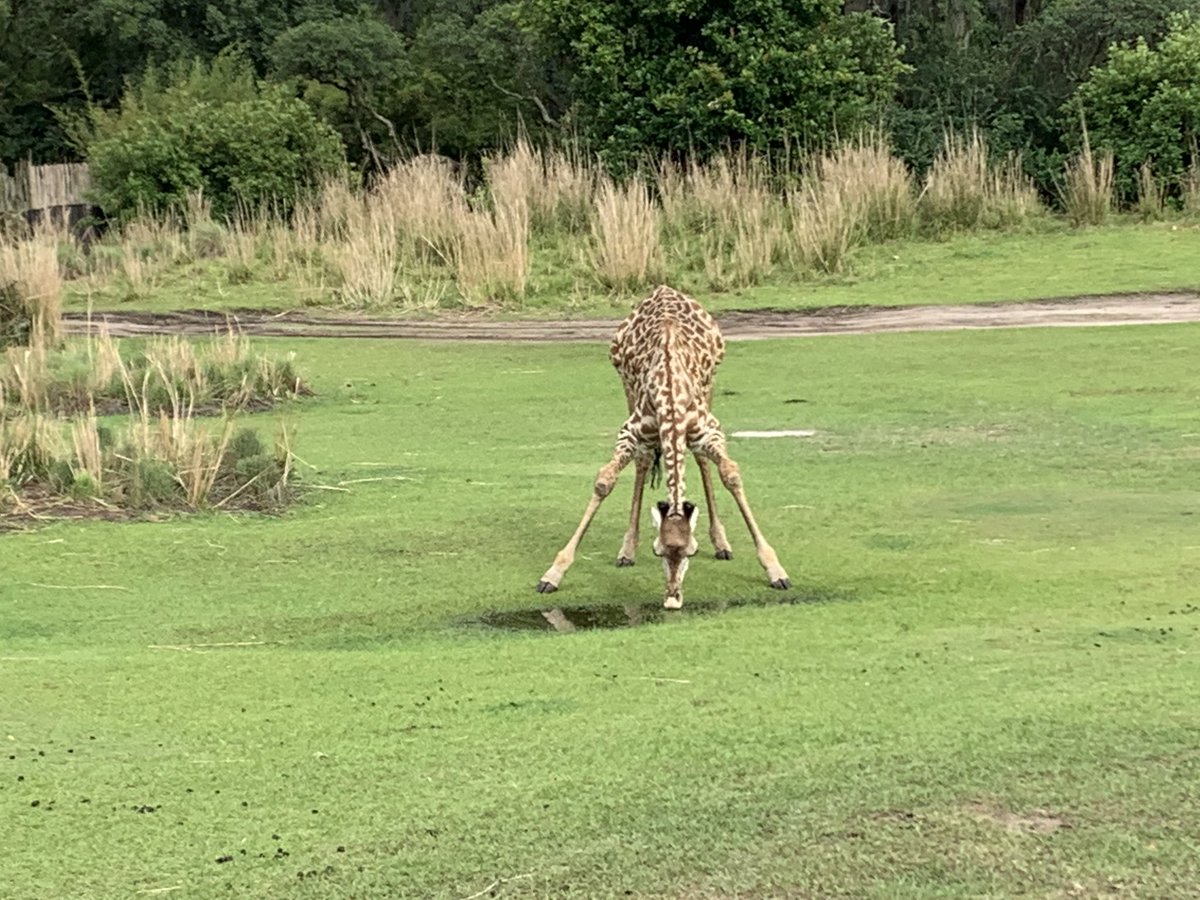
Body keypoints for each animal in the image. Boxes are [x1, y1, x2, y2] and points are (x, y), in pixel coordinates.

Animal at [536, 285, 791, 609]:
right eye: (657, 550)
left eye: (692, 551)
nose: (672, 598)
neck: (670, 390)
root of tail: (664, 288)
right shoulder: (630, 432)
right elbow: (605, 481)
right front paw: (553, 573)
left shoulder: (710, 430)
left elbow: (730, 474)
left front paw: (776, 570)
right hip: (627, 387)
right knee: (643, 462)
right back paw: (627, 550)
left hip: (710, 384)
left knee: (700, 460)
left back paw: (722, 544)